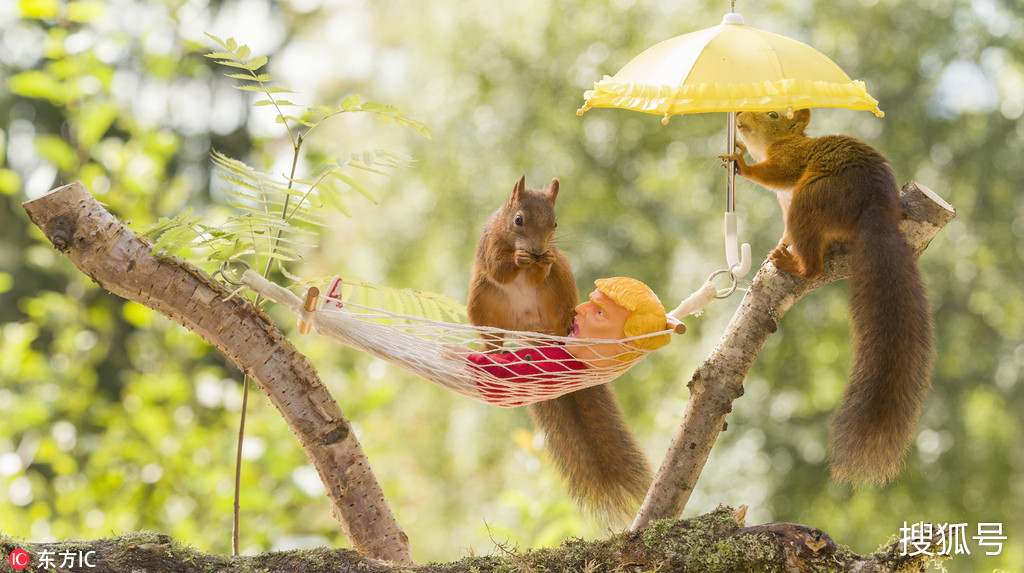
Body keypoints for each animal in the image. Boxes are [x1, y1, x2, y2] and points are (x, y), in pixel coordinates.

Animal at [468, 175, 651, 523]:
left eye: (555, 223)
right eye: (518, 220)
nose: (539, 251)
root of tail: (535, 335)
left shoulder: (551, 260)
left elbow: (539, 272)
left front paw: (538, 265)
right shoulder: (489, 247)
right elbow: (499, 269)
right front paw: (517, 261)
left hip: (561, 282)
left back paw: (567, 327)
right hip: (482, 302)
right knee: (492, 330)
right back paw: (492, 353)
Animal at [720, 109, 937, 485]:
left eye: (773, 114)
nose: (742, 115)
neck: (778, 142)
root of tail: (873, 210)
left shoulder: (790, 160)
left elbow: (777, 173)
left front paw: (740, 162)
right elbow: (785, 233)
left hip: (812, 197)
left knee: (814, 266)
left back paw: (792, 263)